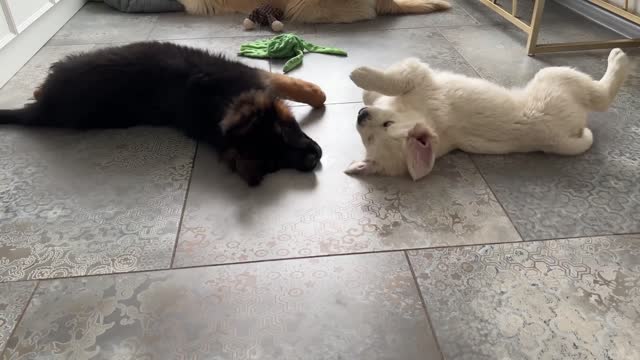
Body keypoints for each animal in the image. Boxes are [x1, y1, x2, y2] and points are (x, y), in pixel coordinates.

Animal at [0, 43, 328, 186]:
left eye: (284, 131)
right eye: (274, 163)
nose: (314, 159)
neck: (218, 105)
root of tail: (45, 109)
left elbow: (288, 85)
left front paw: (319, 96)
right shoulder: (254, 77)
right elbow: (287, 82)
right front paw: (319, 94)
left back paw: (35, 91)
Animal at [344, 48, 632, 180]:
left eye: (387, 124)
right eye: (369, 139)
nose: (360, 116)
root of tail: (561, 137)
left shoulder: (417, 76)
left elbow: (388, 83)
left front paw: (361, 78)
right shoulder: (417, 79)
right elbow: (388, 85)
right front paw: (363, 83)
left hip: (555, 77)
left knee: (601, 97)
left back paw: (618, 57)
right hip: (556, 81)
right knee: (601, 97)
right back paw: (618, 58)